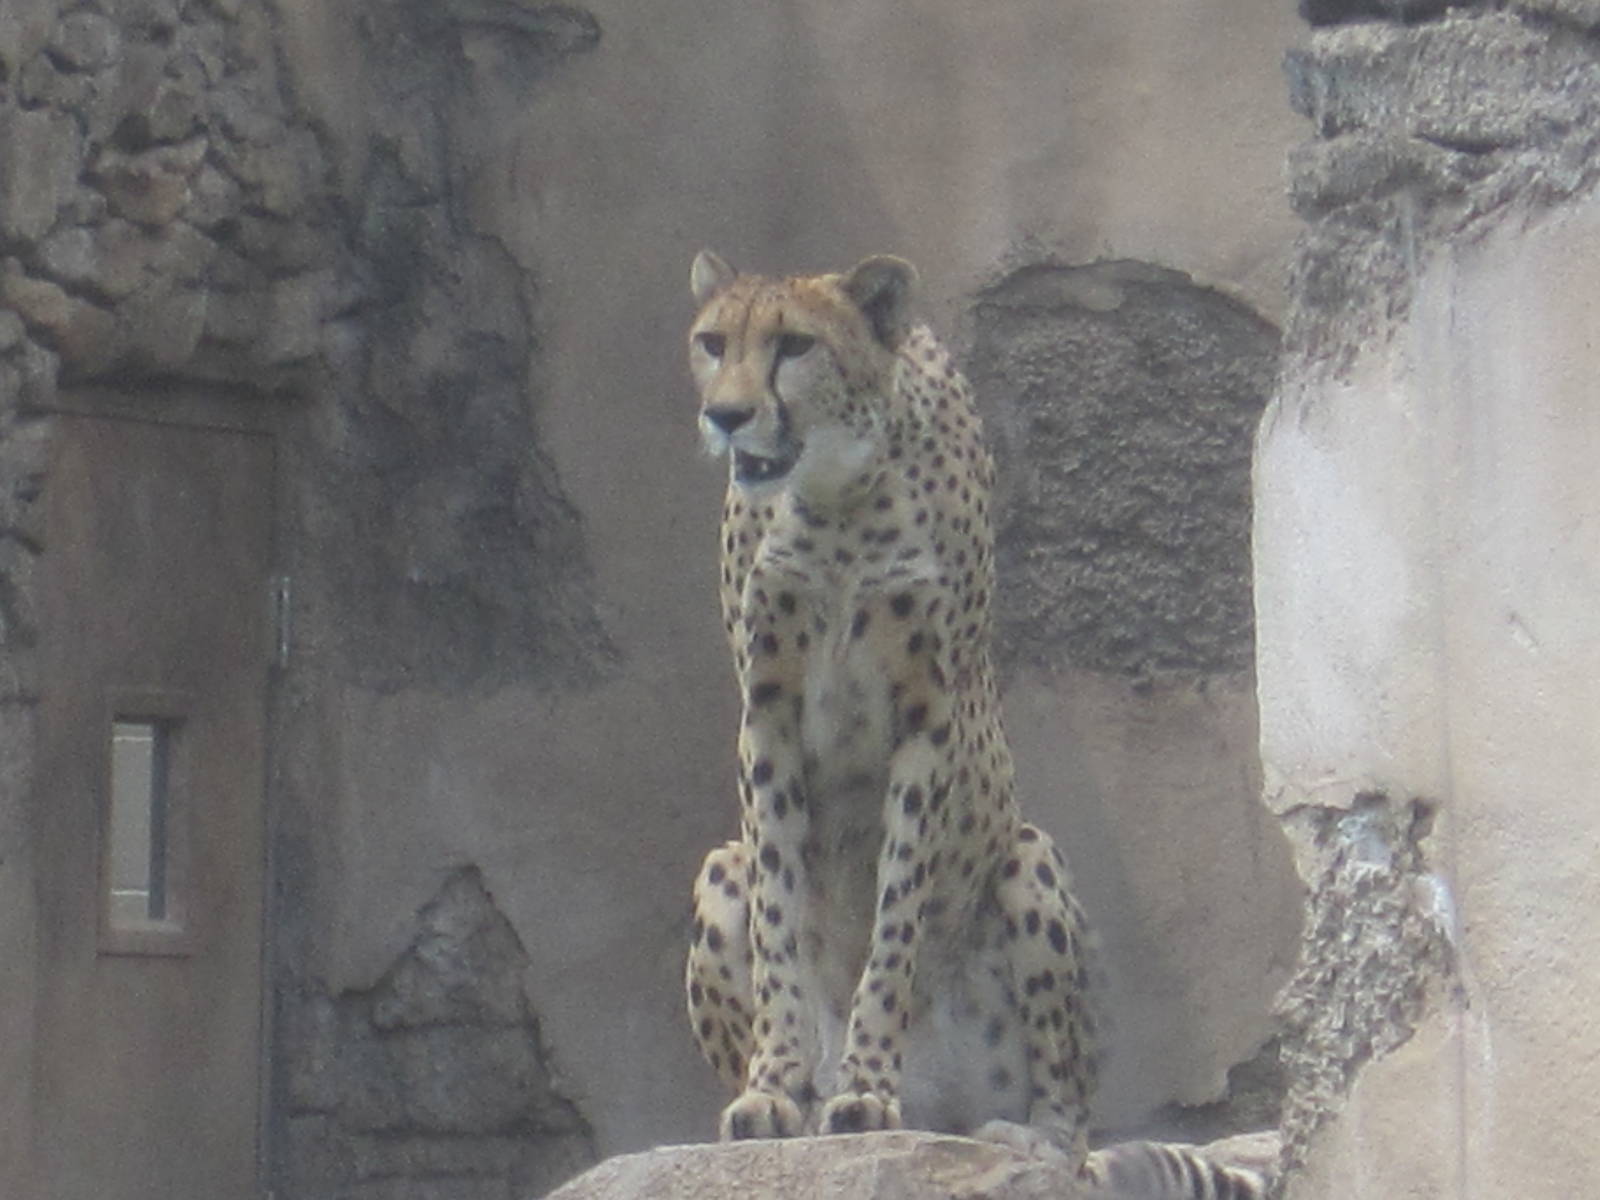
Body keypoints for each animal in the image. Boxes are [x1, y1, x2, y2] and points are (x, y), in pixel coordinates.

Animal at [682, 251, 1273, 1199]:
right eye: (712, 343)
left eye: (794, 345)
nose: (727, 415)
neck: (835, 490)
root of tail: (941, 1113)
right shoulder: (766, 717)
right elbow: (778, 917)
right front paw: (774, 1089)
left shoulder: (930, 718)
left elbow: (896, 919)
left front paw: (866, 1084)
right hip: (717, 867)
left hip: (1029, 859)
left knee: (1071, 1128)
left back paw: (1020, 1138)